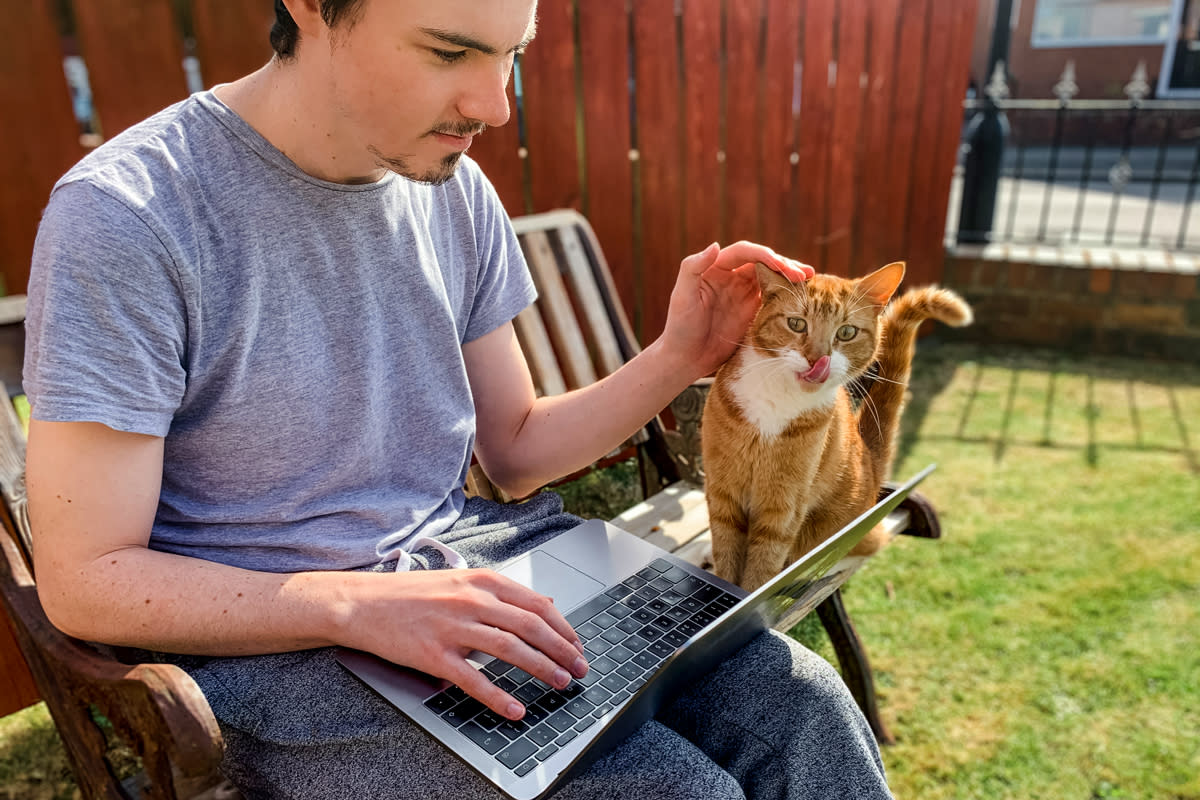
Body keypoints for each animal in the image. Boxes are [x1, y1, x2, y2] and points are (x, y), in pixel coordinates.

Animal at [700, 260, 969, 592]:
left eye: (847, 332)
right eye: (797, 324)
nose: (818, 359)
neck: (779, 400)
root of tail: (871, 464)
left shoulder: (783, 507)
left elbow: (761, 570)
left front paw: (749, 591)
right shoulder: (722, 491)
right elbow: (726, 552)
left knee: (864, 546)